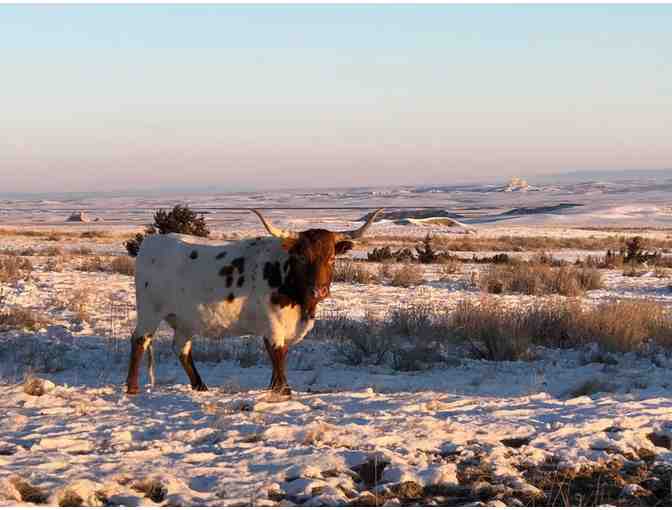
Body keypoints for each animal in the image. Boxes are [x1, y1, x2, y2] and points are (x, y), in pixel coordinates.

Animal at [126, 208, 384, 395]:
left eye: (331, 258)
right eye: (302, 257)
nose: (319, 290)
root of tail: (151, 242)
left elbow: (278, 362)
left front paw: (274, 389)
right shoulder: (274, 326)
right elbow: (278, 360)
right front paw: (283, 391)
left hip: (185, 320)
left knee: (181, 349)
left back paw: (201, 387)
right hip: (149, 311)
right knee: (139, 341)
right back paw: (132, 388)